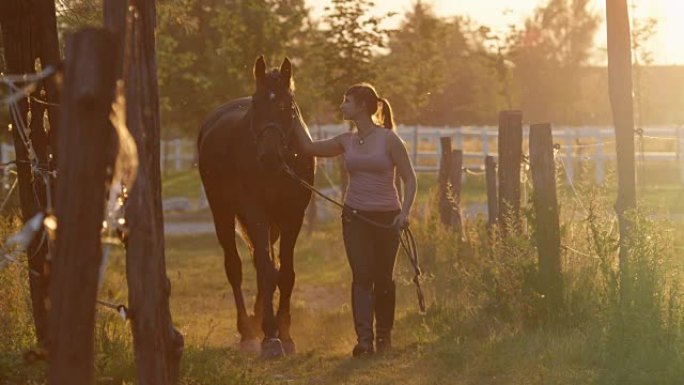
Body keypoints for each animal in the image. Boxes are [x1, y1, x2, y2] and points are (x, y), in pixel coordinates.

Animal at [198, 55, 316, 356]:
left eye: (287, 106)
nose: (270, 157)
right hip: (223, 213)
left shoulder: (292, 217)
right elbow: (264, 270)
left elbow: (284, 272)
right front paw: (271, 337)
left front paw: (285, 333)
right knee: (235, 267)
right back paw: (248, 331)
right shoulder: (257, 213)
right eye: (256, 103)